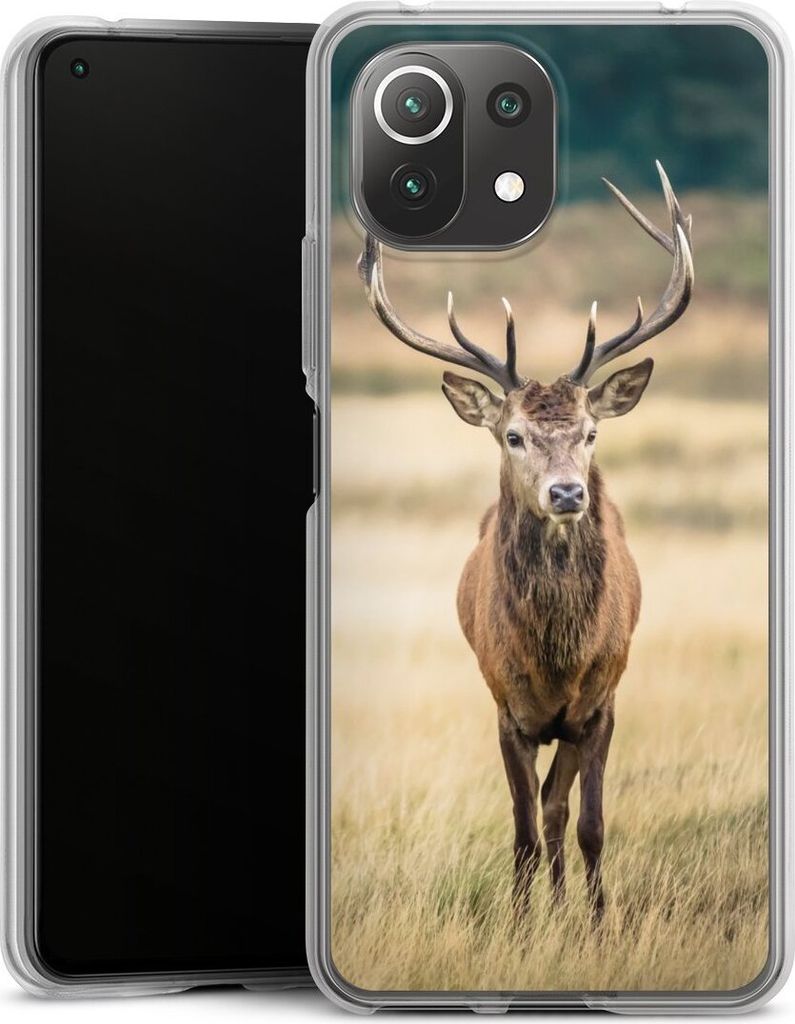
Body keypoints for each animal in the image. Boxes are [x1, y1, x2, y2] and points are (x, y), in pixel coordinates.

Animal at [357, 162, 694, 918]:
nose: (567, 493)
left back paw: (566, 904)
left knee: (558, 808)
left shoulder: (600, 703)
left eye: (591, 433)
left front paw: (596, 923)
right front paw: (517, 922)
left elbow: (587, 823)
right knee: (540, 812)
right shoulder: (506, 708)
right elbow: (520, 830)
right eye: (512, 435)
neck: (556, 658)